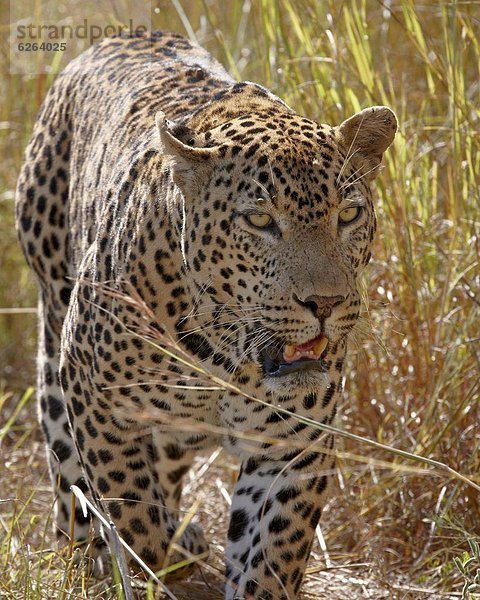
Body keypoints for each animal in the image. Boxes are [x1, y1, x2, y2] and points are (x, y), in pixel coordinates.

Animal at [15, 29, 398, 600]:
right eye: (260, 221)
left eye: (349, 214)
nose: (326, 303)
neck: (227, 356)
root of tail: (121, 34)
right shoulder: (98, 399)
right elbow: (135, 517)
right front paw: (150, 564)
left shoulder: (294, 443)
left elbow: (270, 558)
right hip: (54, 326)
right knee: (68, 464)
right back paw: (86, 548)